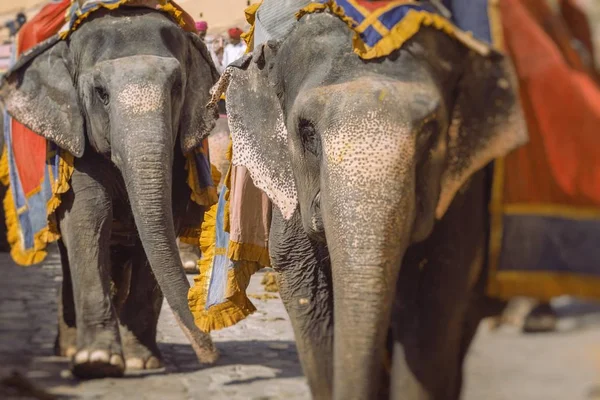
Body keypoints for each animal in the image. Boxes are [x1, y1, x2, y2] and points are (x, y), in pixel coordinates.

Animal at [0, 7, 220, 380]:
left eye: (177, 87)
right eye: (101, 92)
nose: (209, 354)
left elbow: (164, 223)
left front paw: (140, 361)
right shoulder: (76, 138)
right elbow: (88, 216)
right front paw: (97, 363)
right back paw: (69, 349)